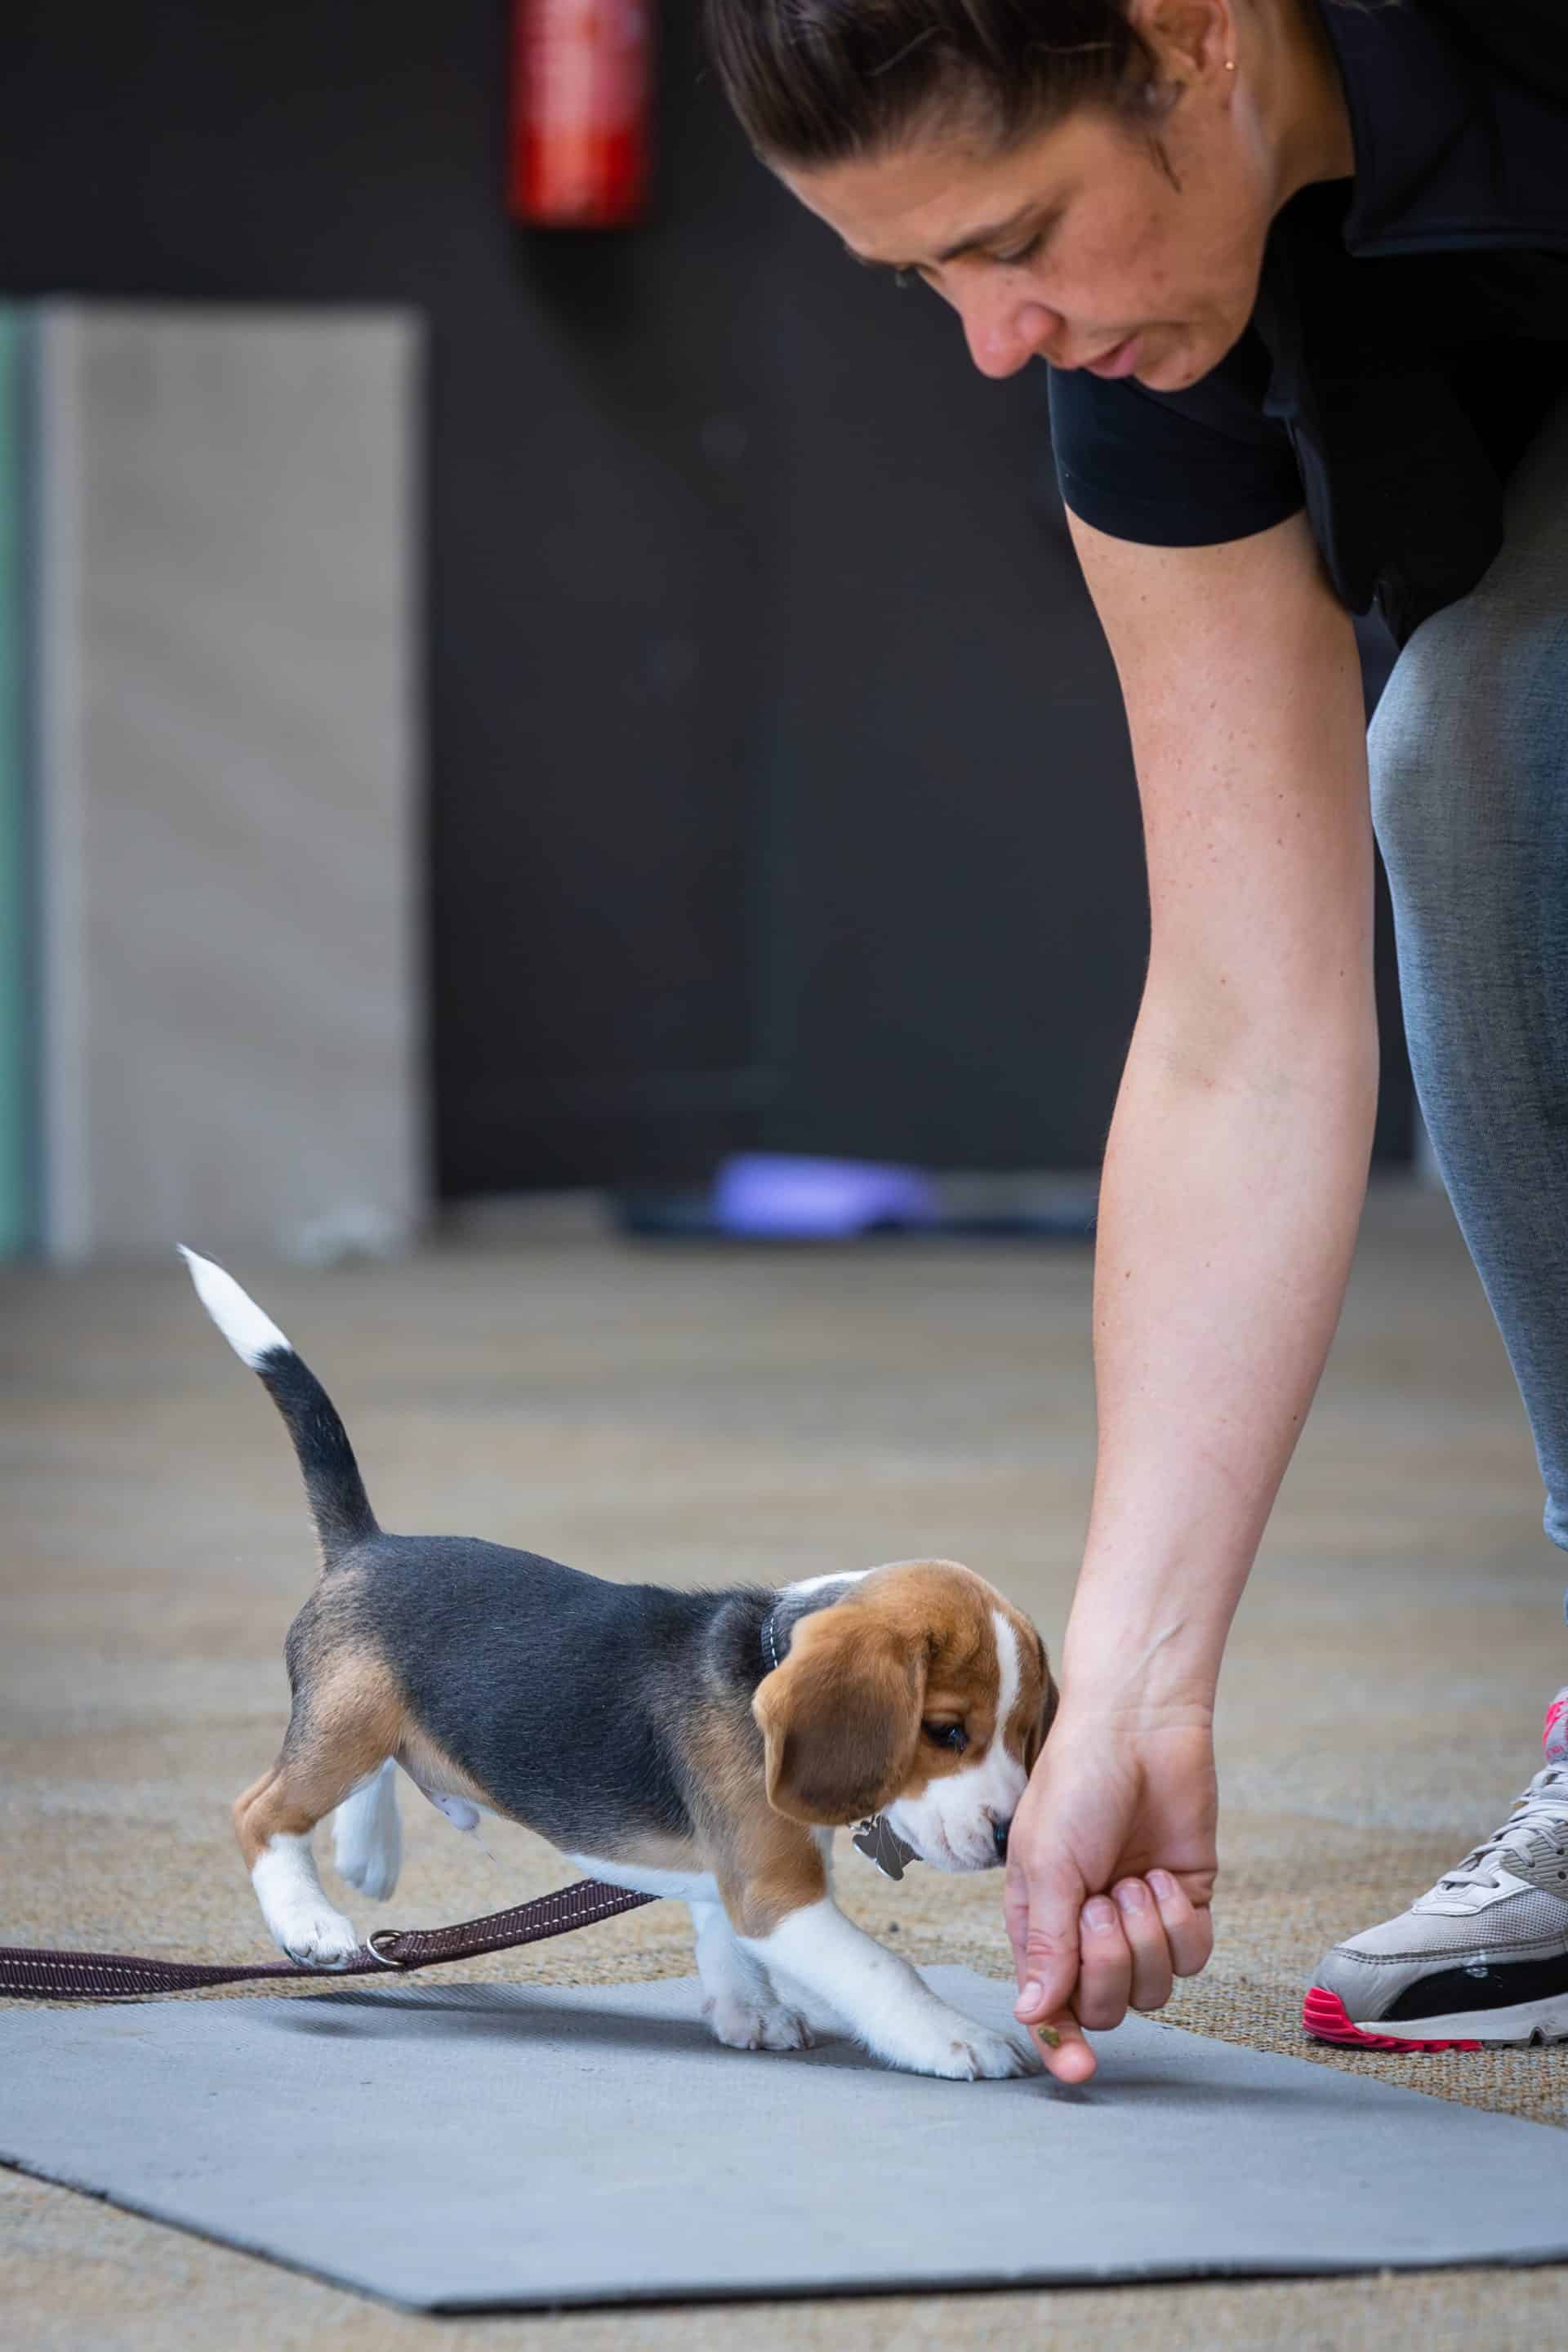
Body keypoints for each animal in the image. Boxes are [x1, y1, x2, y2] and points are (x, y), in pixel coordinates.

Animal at [184, 1251, 1062, 2078]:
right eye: (945, 1732)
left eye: (1025, 1737)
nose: (1010, 1836)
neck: (761, 1662)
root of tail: (366, 1544)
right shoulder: (775, 1892)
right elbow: (882, 1970)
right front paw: (959, 2038)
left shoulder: (731, 1870)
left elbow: (720, 1932)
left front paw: (748, 2011)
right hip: (349, 1720)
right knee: (262, 1811)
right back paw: (310, 1919)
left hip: (364, 1716)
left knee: (370, 1771)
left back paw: (367, 1850)